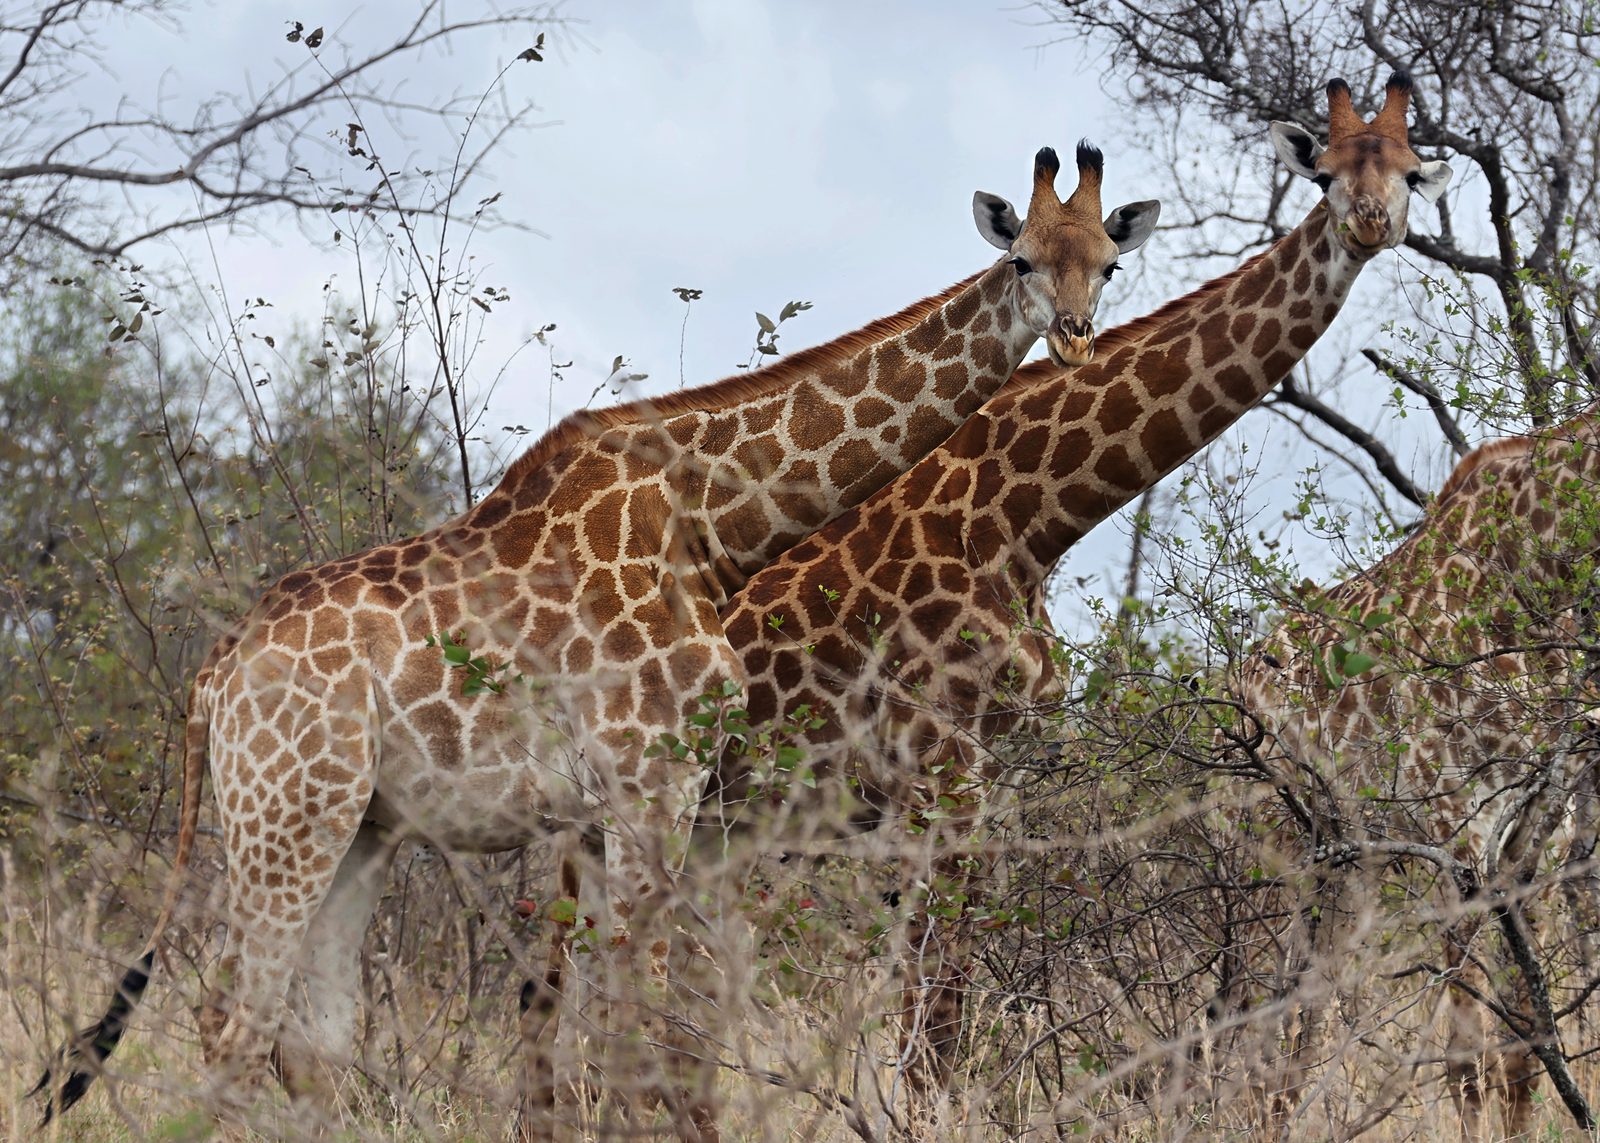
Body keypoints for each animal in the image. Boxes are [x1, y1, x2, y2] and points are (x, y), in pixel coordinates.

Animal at [38, 143, 1160, 1140]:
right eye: (1021, 260)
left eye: (1107, 262)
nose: (1073, 336)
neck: (713, 521)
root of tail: (212, 678)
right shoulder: (650, 781)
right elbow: (636, 1029)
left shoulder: (627, 801)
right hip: (284, 814)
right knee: (232, 1020)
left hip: (355, 827)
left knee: (310, 1037)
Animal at [696, 72, 1452, 1102]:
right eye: (1326, 171)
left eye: (1411, 171)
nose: (1371, 222)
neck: (1029, 524)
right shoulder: (937, 767)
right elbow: (933, 993)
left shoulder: (993, 774)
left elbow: (953, 980)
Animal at [1220, 402, 1600, 1137]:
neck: (1536, 575)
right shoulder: (1457, 829)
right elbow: (1464, 1059)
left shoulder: (1535, 835)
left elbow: (1525, 1053)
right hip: (1274, 859)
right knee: (1249, 1018)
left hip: (1343, 870)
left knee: (1301, 1026)